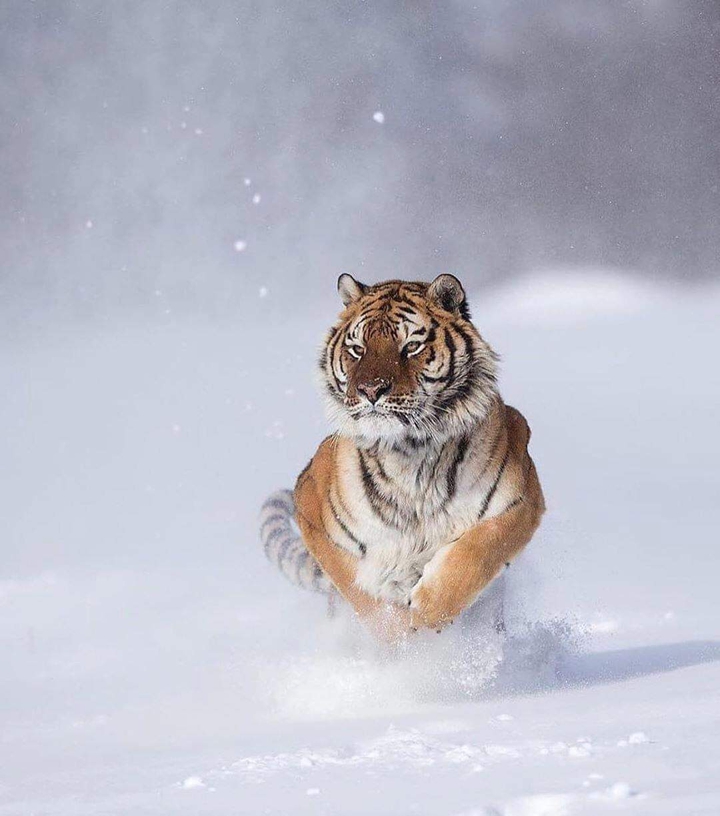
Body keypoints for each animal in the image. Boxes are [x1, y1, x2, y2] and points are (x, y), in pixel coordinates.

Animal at [259, 274, 545, 640]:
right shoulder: (310, 504)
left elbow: (478, 551)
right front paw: (396, 632)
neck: (410, 452)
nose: (370, 390)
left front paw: (426, 611)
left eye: (410, 347)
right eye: (357, 349)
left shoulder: (522, 498)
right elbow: (359, 589)